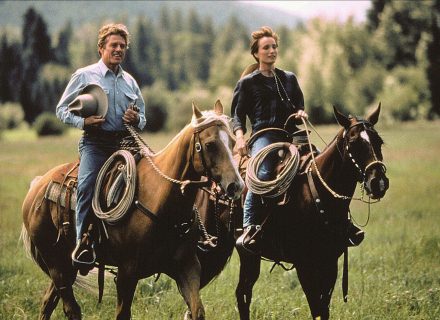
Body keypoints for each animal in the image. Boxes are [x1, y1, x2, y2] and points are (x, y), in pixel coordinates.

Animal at [20, 102, 244, 320]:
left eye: (233, 142)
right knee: (71, 308)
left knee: (48, 302)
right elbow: (122, 313)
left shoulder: (187, 266)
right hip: (56, 263)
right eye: (210, 144)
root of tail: (37, 186)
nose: (236, 186)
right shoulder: (127, 272)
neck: (162, 200)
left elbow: (197, 310)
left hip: (65, 266)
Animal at [192, 105, 388, 320]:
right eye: (353, 143)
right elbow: (316, 308)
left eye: (379, 141)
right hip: (210, 246)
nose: (378, 182)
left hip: (247, 254)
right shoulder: (304, 264)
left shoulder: (330, 262)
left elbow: (323, 309)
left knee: (242, 293)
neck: (316, 191)